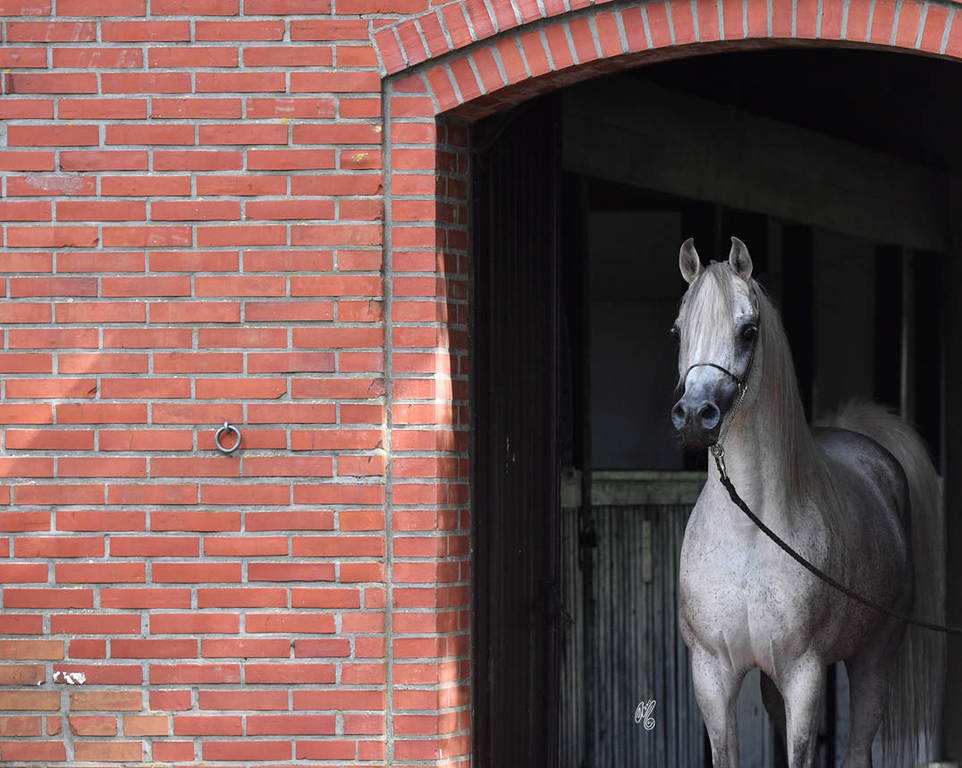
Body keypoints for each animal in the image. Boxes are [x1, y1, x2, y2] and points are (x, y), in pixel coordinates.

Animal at [670, 237, 944, 768]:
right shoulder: (711, 675)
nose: (695, 415)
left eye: (748, 331)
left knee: (858, 749)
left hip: (874, 658)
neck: (748, 531)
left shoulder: (804, 675)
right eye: (678, 329)